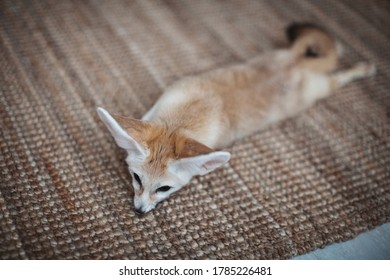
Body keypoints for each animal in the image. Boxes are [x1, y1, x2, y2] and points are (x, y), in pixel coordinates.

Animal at [96, 23, 374, 213]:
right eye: (136, 178)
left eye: (164, 189)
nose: (139, 212)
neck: (182, 120)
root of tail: (295, 65)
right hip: (280, 55)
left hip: (322, 90)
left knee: (339, 74)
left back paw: (363, 67)